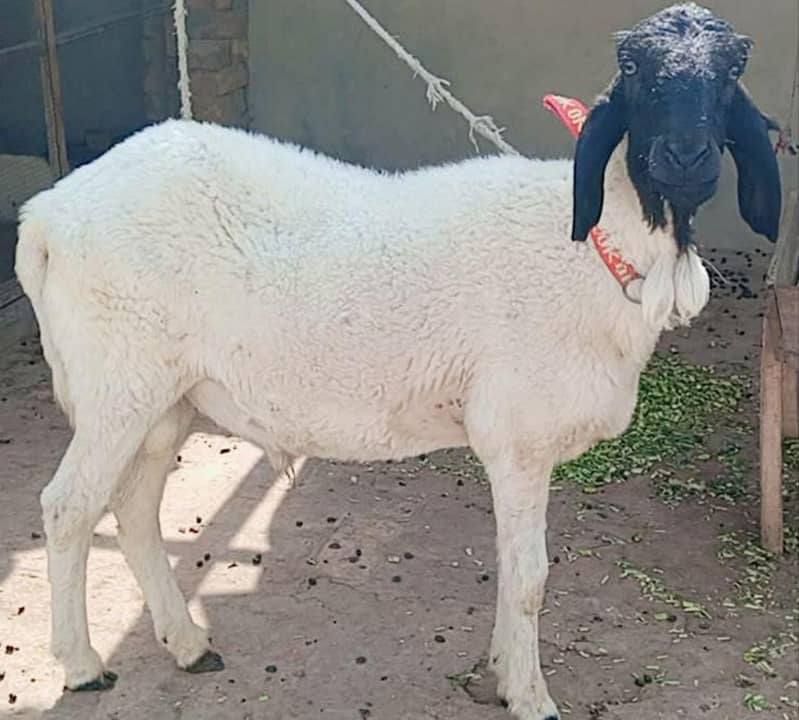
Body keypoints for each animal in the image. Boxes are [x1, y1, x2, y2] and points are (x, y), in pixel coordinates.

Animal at [14, 4, 782, 719]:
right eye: (632, 69)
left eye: (732, 71)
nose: (685, 158)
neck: (596, 246)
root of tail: (47, 214)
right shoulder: (518, 439)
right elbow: (528, 577)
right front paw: (530, 694)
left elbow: (509, 570)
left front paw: (500, 669)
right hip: (118, 381)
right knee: (68, 507)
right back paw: (82, 664)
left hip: (164, 396)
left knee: (132, 509)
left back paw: (188, 644)